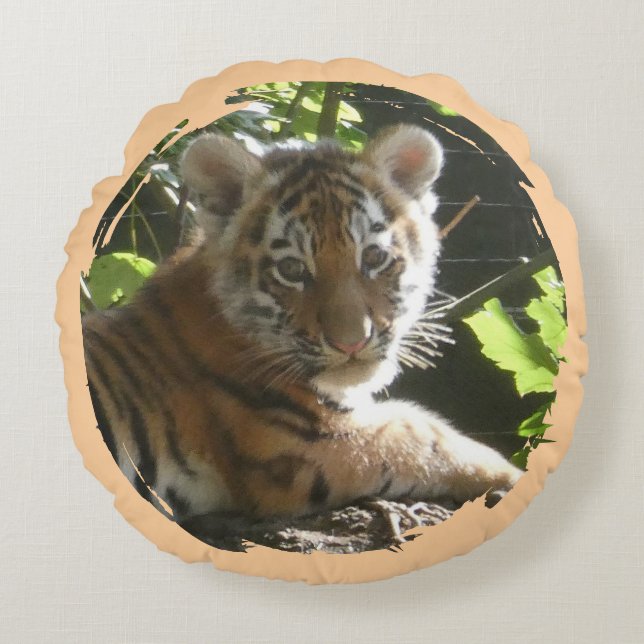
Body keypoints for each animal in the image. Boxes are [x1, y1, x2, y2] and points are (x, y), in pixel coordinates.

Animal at [82, 124, 522, 529]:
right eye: (292, 269)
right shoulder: (308, 445)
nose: (352, 343)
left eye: (374, 257)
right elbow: (425, 437)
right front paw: (512, 475)